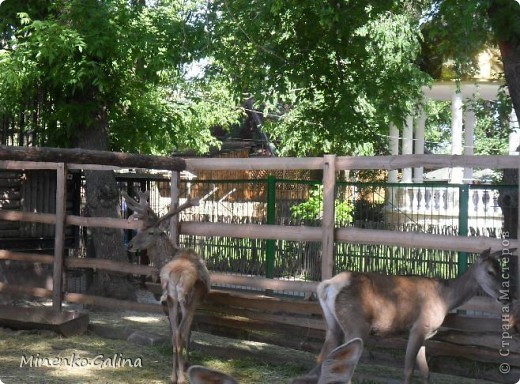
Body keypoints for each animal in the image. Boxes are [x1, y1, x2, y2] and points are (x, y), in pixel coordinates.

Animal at [123, 191, 210, 384]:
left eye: (150, 232)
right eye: (139, 230)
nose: (130, 245)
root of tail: (173, 274)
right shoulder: (195, 302)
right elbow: (187, 333)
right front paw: (186, 364)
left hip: (171, 299)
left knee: (174, 335)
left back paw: (173, 375)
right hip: (187, 298)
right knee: (180, 334)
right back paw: (181, 377)